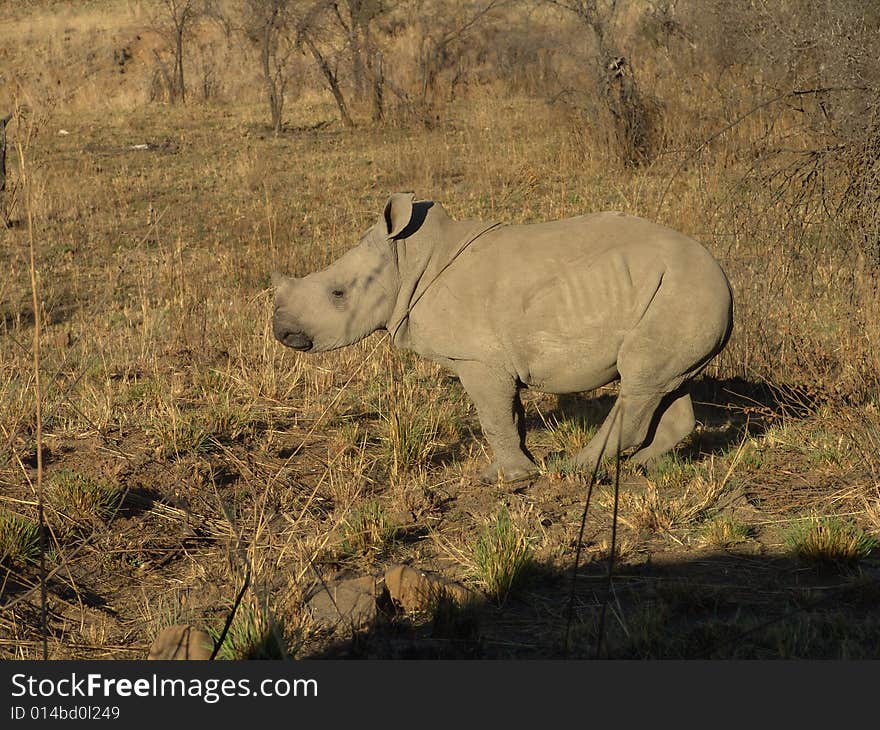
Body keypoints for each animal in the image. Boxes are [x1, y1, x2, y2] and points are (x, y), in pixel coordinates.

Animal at [276, 191, 736, 480]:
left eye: (338, 294)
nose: (282, 332)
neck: (410, 261)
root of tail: (725, 279)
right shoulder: (493, 358)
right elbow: (509, 415)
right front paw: (517, 469)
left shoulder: (477, 358)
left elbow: (491, 416)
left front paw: (507, 479)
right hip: (676, 295)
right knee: (664, 382)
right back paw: (645, 466)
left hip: (681, 292)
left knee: (640, 380)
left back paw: (577, 469)